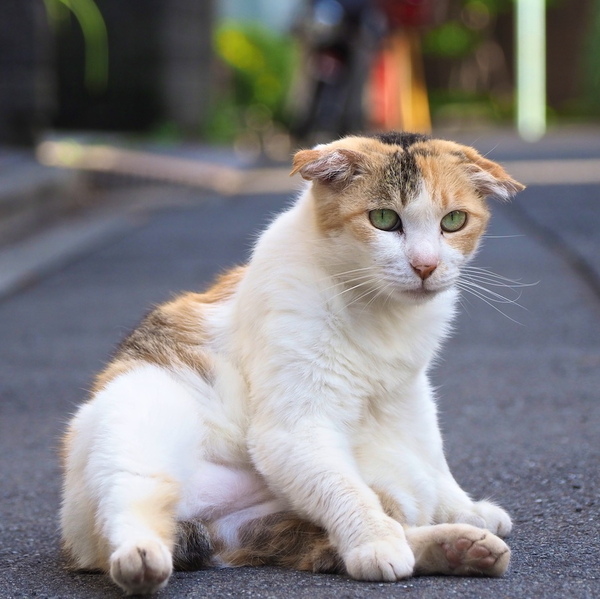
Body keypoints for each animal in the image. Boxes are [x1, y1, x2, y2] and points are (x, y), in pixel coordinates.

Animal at [58, 131, 524, 596]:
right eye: (385, 219)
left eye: (454, 221)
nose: (425, 265)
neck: (379, 310)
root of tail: (204, 523)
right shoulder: (294, 430)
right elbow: (347, 491)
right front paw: (374, 542)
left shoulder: (409, 395)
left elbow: (433, 455)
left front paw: (463, 509)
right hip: (139, 416)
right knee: (130, 502)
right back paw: (141, 559)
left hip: (350, 492)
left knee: (342, 535)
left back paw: (460, 547)